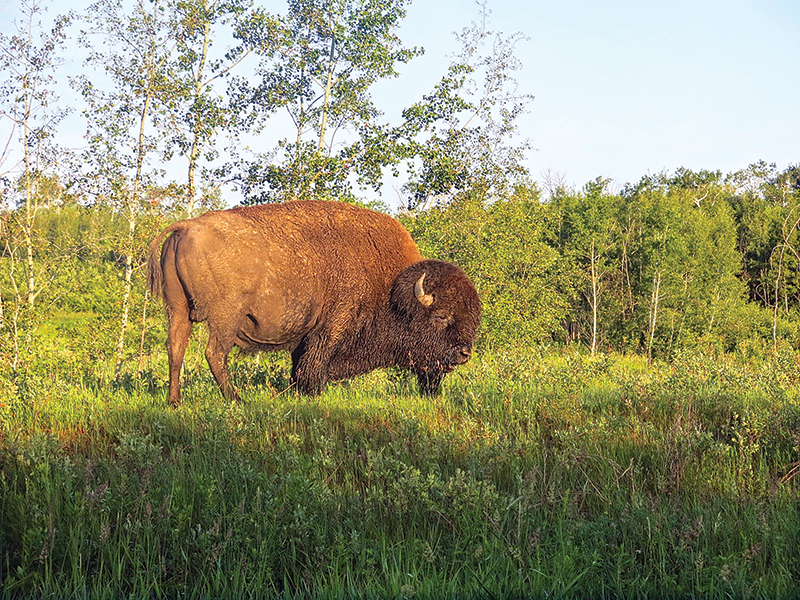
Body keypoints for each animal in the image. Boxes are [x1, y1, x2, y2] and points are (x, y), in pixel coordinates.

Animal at [147, 200, 481, 405]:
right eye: (440, 316)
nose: (464, 353)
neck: (393, 288)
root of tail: (185, 227)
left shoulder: (305, 337)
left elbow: (300, 365)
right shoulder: (332, 325)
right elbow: (314, 363)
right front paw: (312, 394)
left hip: (177, 309)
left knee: (175, 349)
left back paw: (174, 402)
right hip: (225, 317)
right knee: (214, 353)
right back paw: (236, 399)